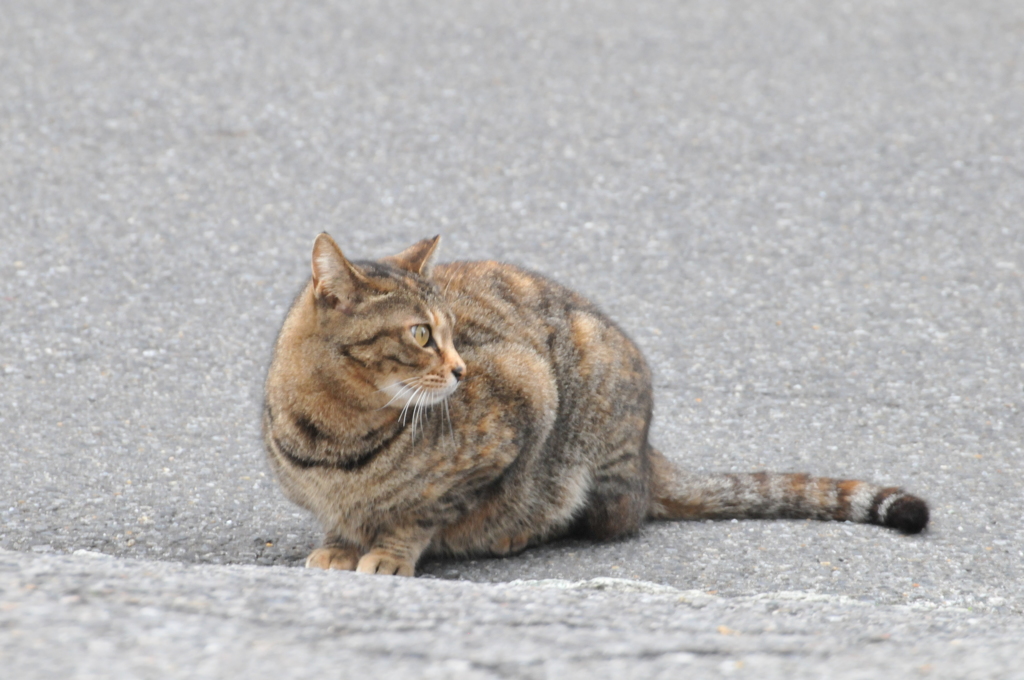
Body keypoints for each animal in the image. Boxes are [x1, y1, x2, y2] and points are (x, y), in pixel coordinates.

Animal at [262, 232, 929, 573]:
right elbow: (346, 518)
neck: (338, 434)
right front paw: (344, 544)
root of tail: (648, 452)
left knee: (610, 515)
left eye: (453, 332)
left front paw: (389, 552)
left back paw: (515, 533)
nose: (460, 368)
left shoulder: (524, 399)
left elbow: (422, 510)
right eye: (422, 335)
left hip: (590, 410)